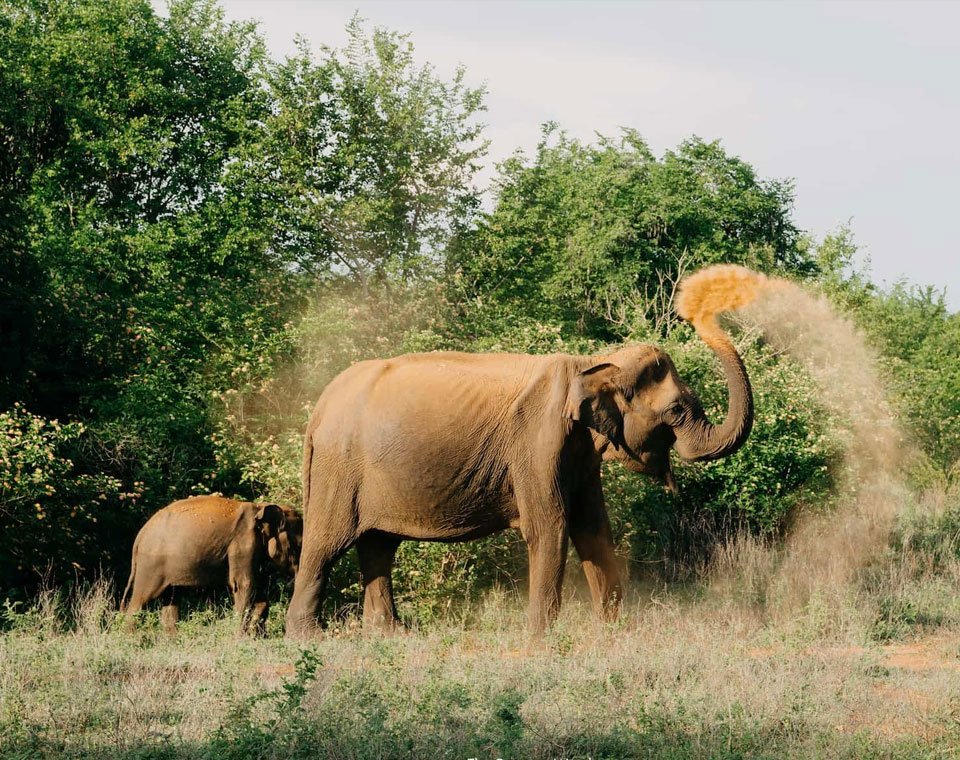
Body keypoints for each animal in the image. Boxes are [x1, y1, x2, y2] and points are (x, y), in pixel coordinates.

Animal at [120, 492, 302, 636]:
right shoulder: (243, 544)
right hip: (151, 564)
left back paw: (172, 640)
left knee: (171, 598)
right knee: (141, 600)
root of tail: (139, 537)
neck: (260, 508)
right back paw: (132, 639)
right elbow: (243, 584)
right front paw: (239, 638)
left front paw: (258, 637)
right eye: (299, 545)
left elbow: (258, 590)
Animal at [286, 266, 764, 636]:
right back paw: (306, 638)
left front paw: (612, 634)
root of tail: (318, 408)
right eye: (678, 409)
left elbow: (594, 529)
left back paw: (389, 635)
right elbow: (549, 528)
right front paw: (540, 641)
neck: (590, 364)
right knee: (325, 544)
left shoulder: (578, 453)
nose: (701, 304)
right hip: (338, 469)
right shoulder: (537, 442)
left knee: (378, 545)